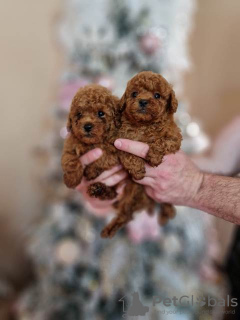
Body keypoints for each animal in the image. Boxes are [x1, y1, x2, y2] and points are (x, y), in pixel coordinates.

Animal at [100, 70, 181, 235]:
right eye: (134, 93)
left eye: (157, 95)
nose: (143, 101)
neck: (144, 124)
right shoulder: (120, 140)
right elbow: (127, 155)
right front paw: (137, 170)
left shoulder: (174, 137)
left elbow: (161, 141)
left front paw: (154, 157)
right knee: (125, 213)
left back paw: (167, 213)